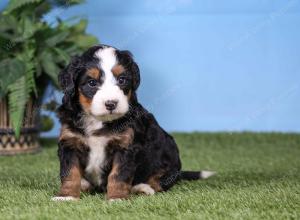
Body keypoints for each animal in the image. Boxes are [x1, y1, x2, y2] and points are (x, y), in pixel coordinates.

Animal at [52, 44, 216, 201]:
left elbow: (118, 175)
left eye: (121, 80)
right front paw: (67, 196)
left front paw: (117, 198)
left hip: (168, 156)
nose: (111, 104)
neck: (98, 120)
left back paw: (142, 188)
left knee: (158, 181)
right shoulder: (70, 143)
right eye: (92, 83)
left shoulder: (126, 146)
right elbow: (70, 173)